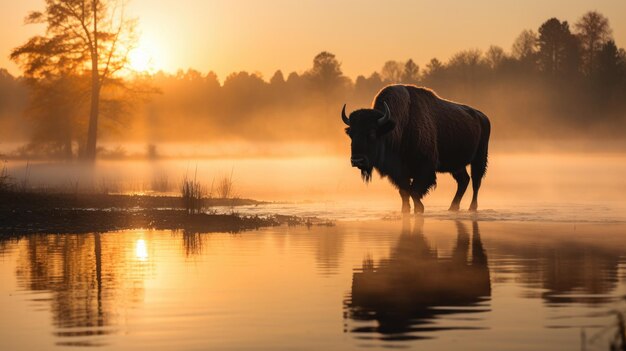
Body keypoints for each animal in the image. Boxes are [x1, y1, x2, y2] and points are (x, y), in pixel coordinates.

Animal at [342, 84, 488, 213]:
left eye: (372, 133)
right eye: (351, 134)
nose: (357, 160)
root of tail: (481, 116)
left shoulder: (425, 168)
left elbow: (414, 191)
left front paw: (419, 209)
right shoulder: (399, 173)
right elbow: (404, 192)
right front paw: (405, 211)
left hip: (479, 159)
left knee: (476, 182)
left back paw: (472, 208)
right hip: (456, 165)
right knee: (464, 180)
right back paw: (453, 208)